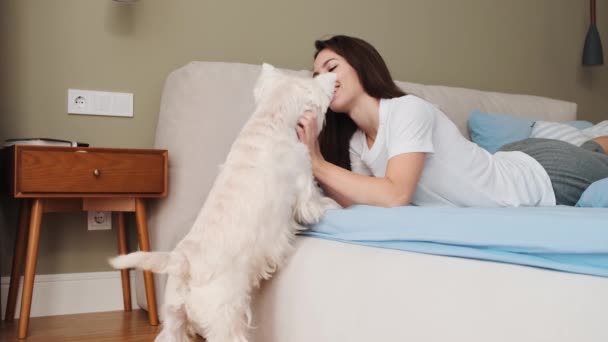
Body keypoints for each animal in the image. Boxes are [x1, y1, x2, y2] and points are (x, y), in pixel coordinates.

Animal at [109, 64, 338, 342]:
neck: (271, 117)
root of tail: (184, 261)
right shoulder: (304, 183)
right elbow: (316, 204)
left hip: (174, 317)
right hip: (226, 315)